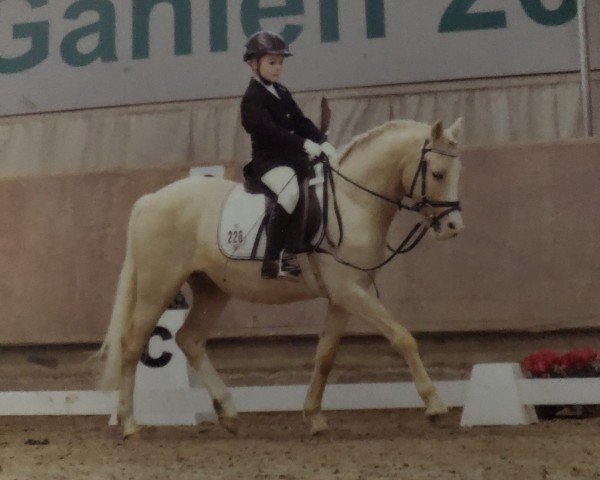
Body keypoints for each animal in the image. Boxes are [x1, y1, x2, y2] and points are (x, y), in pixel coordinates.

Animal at [98, 117, 466, 438]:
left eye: (455, 173)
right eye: (437, 173)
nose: (453, 227)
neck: (352, 202)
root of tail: (150, 200)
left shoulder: (344, 296)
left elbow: (325, 355)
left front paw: (314, 417)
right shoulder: (349, 291)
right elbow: (402, 337)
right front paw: (435, 406)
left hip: (212, 289)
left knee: (189, 339)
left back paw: (228, 414)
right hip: (158, 286)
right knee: (132, 345)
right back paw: (130, 425)